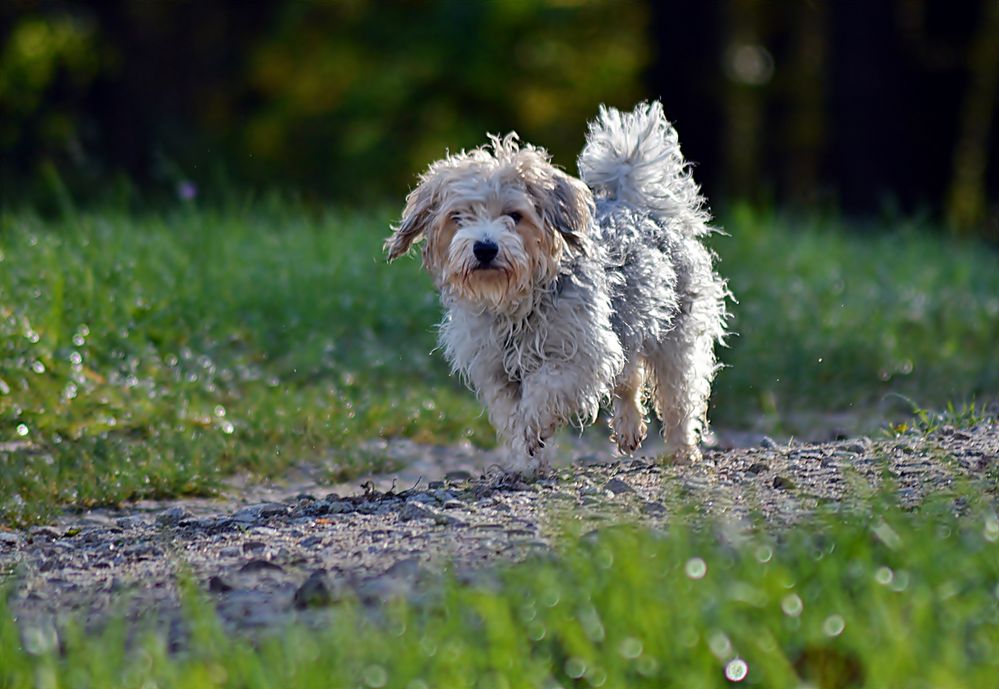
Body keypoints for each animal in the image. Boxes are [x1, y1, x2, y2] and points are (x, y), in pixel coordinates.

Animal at [386, 101, 732, 472]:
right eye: (458, 217)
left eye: (515, 215)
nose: (485, 248)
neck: (516, 306)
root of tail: (637, 206)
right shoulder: (496, 371)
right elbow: (511, 415)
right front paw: (525, 461)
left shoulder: (581, 354)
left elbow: (545, 392)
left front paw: (533, 429)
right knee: (629, 376)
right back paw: (629, 427)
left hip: (676, 341)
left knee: (678, 398)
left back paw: (683, 450)